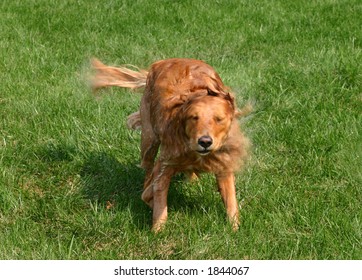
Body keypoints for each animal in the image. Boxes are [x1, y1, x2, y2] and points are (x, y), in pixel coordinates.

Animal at [91, 57, 249, 232]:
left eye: (219, 119)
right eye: (194, 117)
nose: (205, 141)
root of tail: (160, 62)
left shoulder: (223, 164)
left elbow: (231, 199)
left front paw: (234, 228)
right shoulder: (165, 164)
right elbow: (156, 196)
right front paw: (157, 230)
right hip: (149, 140)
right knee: (148, 169)